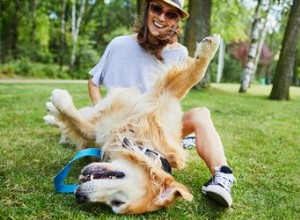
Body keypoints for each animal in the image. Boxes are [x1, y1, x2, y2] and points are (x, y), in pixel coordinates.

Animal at [44, 34, 220, 215]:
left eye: (116, 203)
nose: (79, 196)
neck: (139, 140)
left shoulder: (96, 135)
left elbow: (80, 125)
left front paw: (60, 101)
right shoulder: (163, 96)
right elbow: (195, 75)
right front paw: (209, 47)